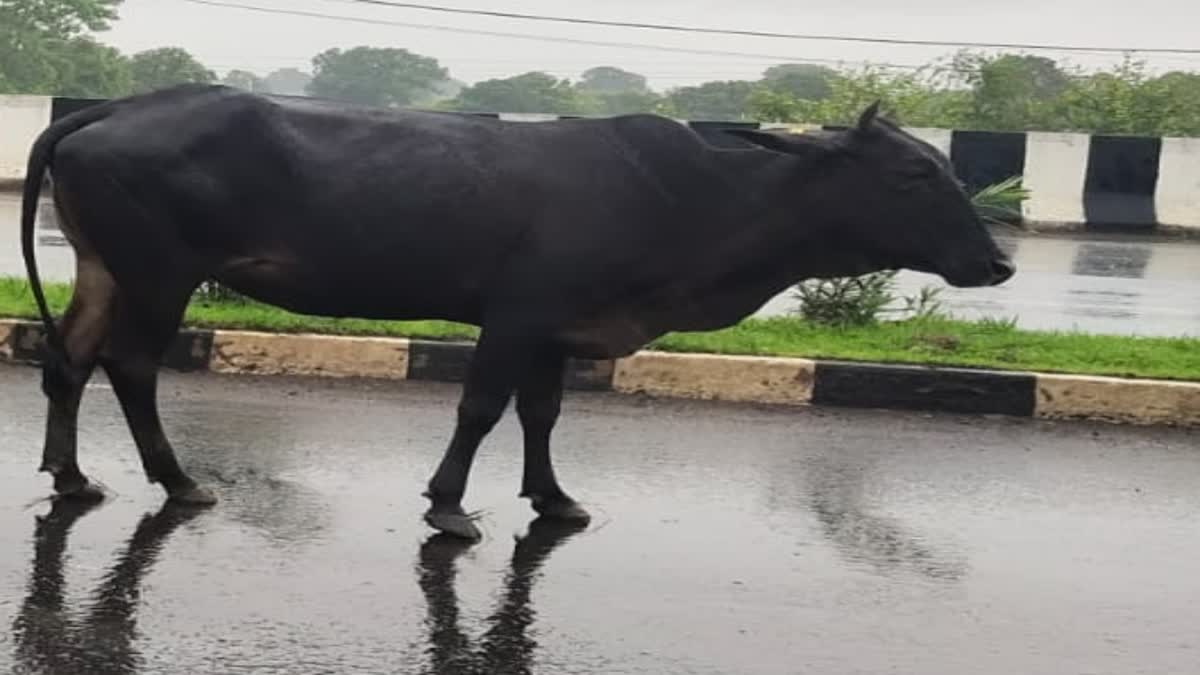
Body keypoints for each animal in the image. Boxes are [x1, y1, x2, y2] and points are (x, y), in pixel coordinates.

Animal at [18, 84, 1012, 538]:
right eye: (914, 172)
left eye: (941, 164)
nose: (999, 260)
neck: (701, 205)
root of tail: (117, 106)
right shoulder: (519, 314)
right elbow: (481, 407)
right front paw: (450, 504)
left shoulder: (559, 331)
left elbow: (542, 413)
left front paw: (555, 496)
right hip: (160, 273)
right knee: (131, 365)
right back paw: (177, 478)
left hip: (106, 270)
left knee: (69, 358)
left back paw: (72, 475)